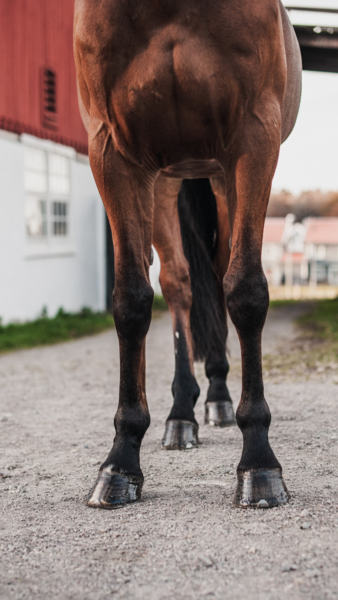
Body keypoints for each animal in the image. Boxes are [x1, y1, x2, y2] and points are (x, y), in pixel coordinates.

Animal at [73, 0, 302, 508]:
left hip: (218, 175)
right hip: (164, 180)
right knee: (178, 284)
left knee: (217, 276)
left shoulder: (254, 137)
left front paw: (259, 465)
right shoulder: (112, 151)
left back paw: (217, 398)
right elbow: (131, 301)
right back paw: (181, 415)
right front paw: (120, 463)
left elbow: (246, 292)